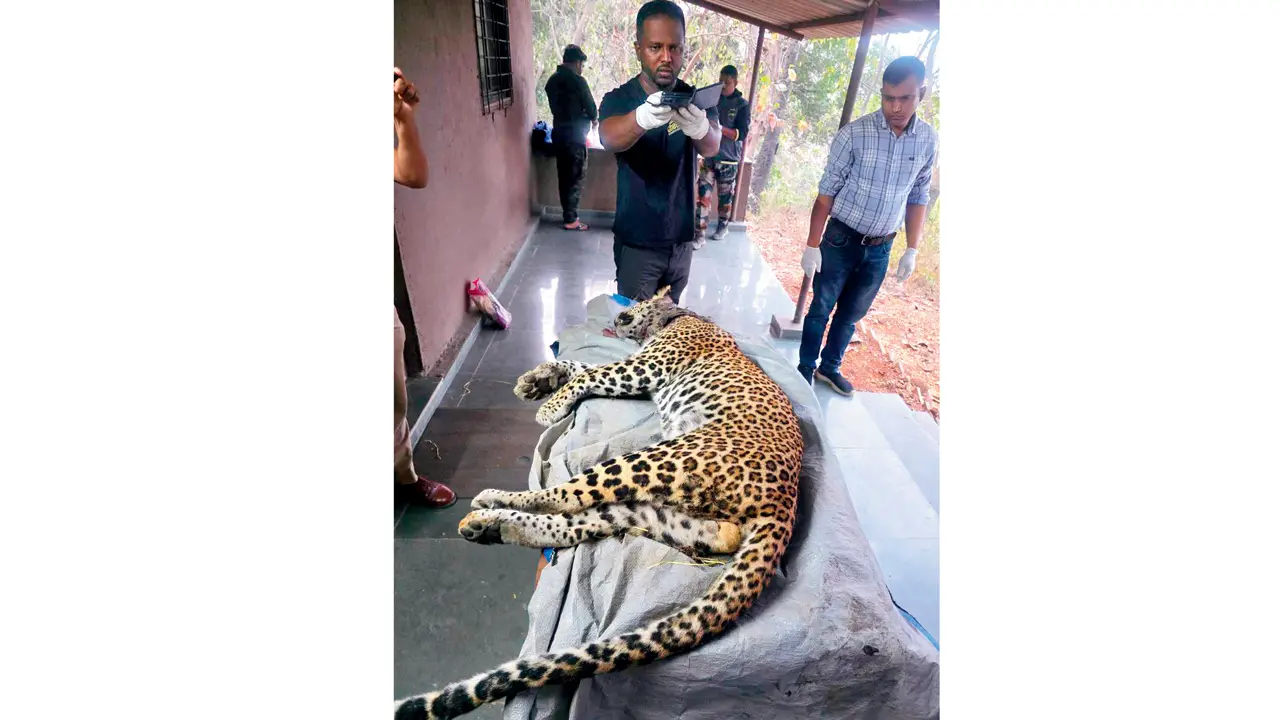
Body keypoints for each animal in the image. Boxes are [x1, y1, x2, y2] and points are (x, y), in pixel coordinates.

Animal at [393, 286, 805, 720]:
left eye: (638, 301)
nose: (621, 315)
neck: (674, 317)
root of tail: (786, 503)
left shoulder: (645, 367)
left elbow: (590, 372)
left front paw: (549, 404)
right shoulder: (637, 370)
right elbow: (581, 363)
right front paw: (537, 380)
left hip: (657, 458)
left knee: (562, 494)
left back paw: (493, 502)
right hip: (664, 512)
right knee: (585, 519)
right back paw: (490, 525)